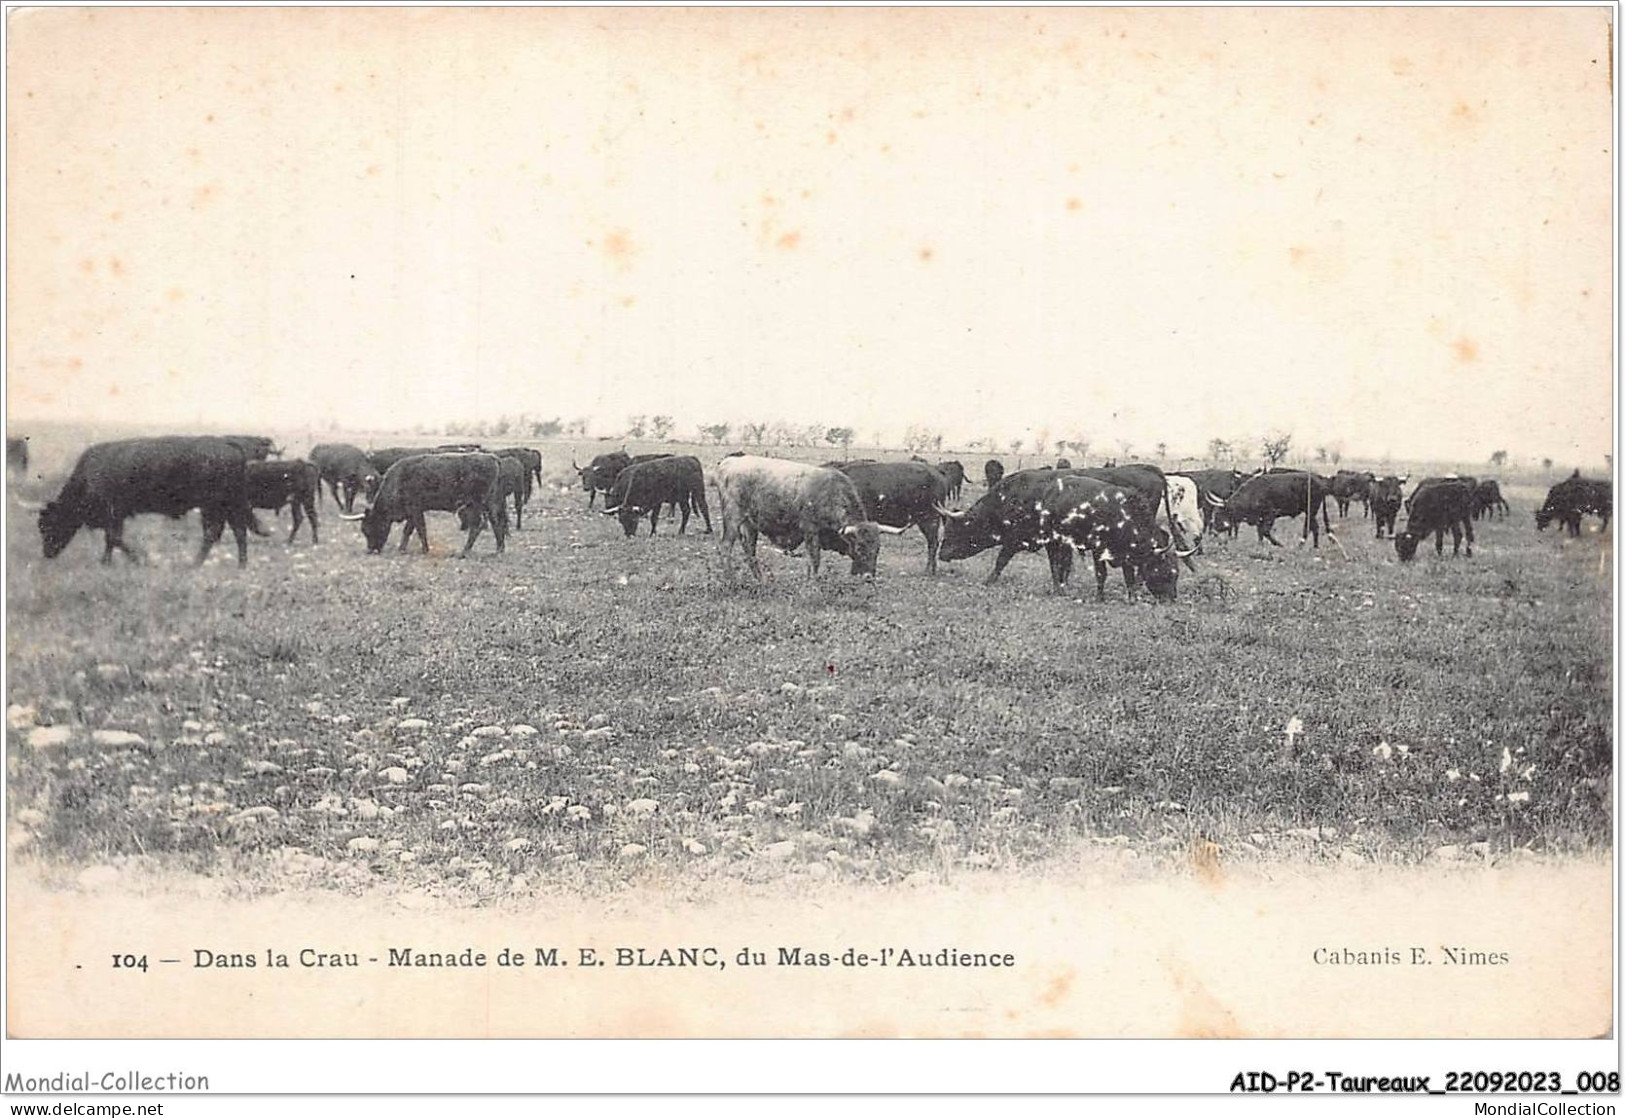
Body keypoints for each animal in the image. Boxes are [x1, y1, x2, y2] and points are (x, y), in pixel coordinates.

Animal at [346, 451, 510, 555]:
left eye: (370, 527)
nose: (371, 550)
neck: (399, 480)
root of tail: (492, 458)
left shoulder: (416, 510)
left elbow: (419, 529)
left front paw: (424, 550)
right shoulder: (413, 513)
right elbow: (409, 530)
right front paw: (402, 549)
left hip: (476, 504)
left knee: (477, 525)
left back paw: (464, 551)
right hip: (490, 503)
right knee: (496, 522)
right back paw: (499, 550)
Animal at [718, 451, 910, 575]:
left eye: (877, 549)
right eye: (860, 546)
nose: (868, 577)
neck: (830, 493)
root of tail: (729, 463)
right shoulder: (810, 531)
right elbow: (815, 560)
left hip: (750, 524)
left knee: (750, 552)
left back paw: (760, 580)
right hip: (733, 518)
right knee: (726, 547)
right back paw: (730, 579)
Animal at [936, 468, 1189, 598]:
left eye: (955, 528)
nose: (941, 553)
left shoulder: (1019, 540)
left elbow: (1002, 560)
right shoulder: (1055, 543)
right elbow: (1057, 566)